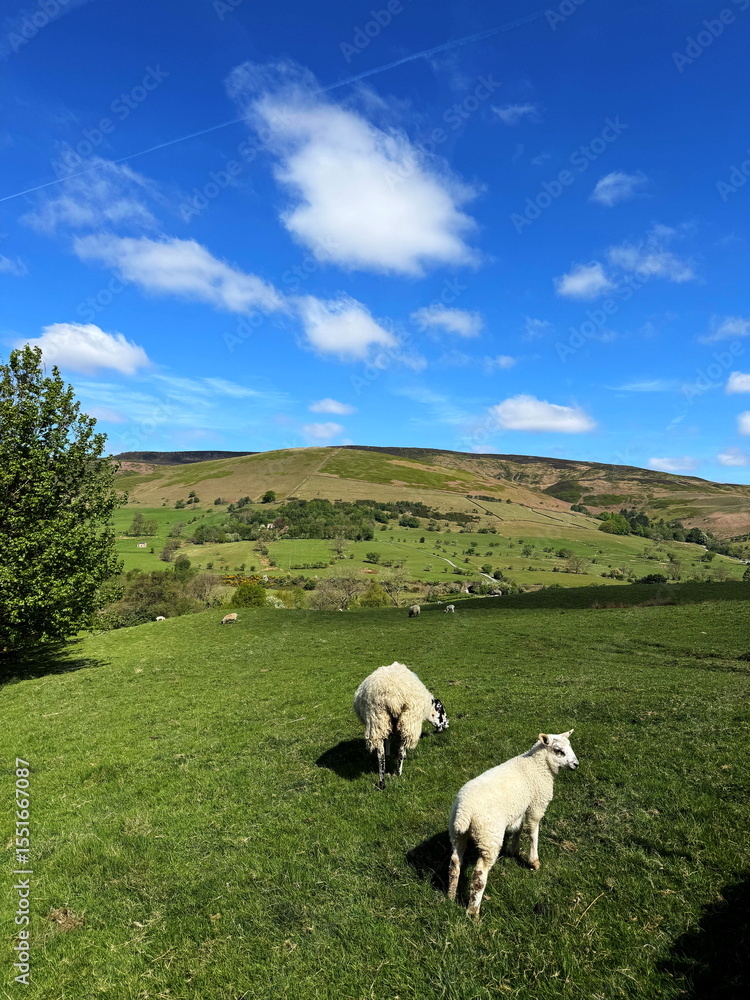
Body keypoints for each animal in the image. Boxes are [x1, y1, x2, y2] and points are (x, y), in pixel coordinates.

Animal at [353, 661, 448, 790]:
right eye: (442, 711)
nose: (446, 726)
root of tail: (392, 698)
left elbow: (388, 741)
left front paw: (388, 752)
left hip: (377, 721)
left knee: (380, 755)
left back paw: (382, 781)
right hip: (407, 722)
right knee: (400, 751)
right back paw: (399, 772)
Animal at [448, 730, 578, 916]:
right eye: (558, 751)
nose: (576, 764)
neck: (537, 765)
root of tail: (464, 811)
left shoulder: (519, 808)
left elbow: (518, 828)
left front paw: (514, 850)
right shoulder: (536, 805)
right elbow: (533, 831)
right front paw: (534, 861)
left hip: (457, 833)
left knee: (455, 863)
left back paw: (450, 897)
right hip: (489, 837)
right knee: (479, 874)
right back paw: (473, 912)